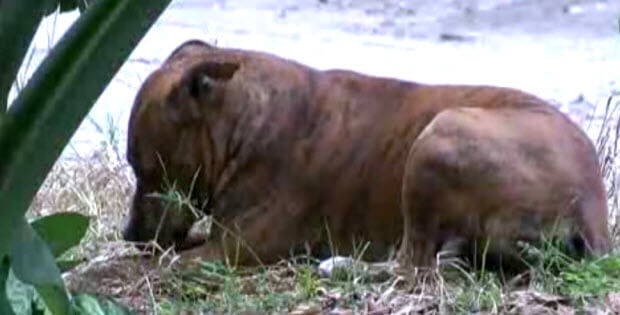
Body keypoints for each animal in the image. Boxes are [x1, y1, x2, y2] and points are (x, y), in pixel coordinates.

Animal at [122, 39, 612, 266]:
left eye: (146, 169)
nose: (127, 233)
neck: (245, 120)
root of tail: (591, 207)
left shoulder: (232, 249)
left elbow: (163, 262)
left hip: (437, 136)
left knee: (413, 265)